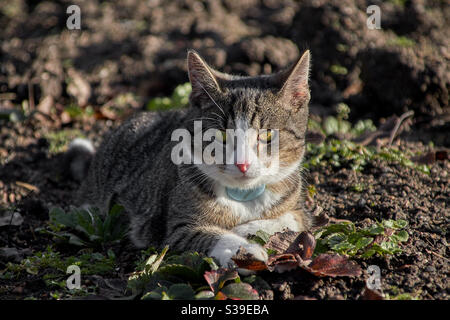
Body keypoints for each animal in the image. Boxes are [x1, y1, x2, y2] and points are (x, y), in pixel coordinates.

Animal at [70, 49, 312, 270]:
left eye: (268, 135)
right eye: (222, 136)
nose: (242, 164)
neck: (243, 196)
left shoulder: (298, 209)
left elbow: (293, 222)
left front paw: (247, 229)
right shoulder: (173, 229)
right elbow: (208, 235)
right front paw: (245, 251)